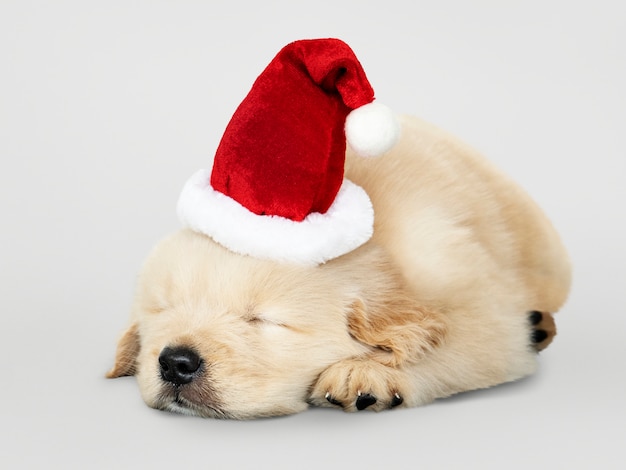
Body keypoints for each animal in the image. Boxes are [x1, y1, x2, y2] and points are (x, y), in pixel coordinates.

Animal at [108, 115, 572, 420]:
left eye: (263, 320)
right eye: (163, 310)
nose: (175, 363)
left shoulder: (481, 307)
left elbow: (462, 344)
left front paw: (366, 374)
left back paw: (541, 325)